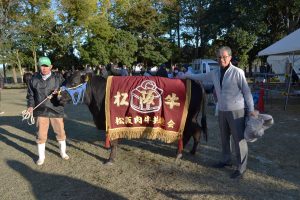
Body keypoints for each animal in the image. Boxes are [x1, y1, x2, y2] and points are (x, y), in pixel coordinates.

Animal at [59, 71, 207, 164]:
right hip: (192, 117)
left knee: (190, 132)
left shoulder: (112, 119)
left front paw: (110, 159)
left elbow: (114, 142)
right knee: (197, 130)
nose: (58, 96)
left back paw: (179, 154)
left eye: (74, 83)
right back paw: (191, 151)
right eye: (65, 81)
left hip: (188, 118)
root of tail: (194, 81)